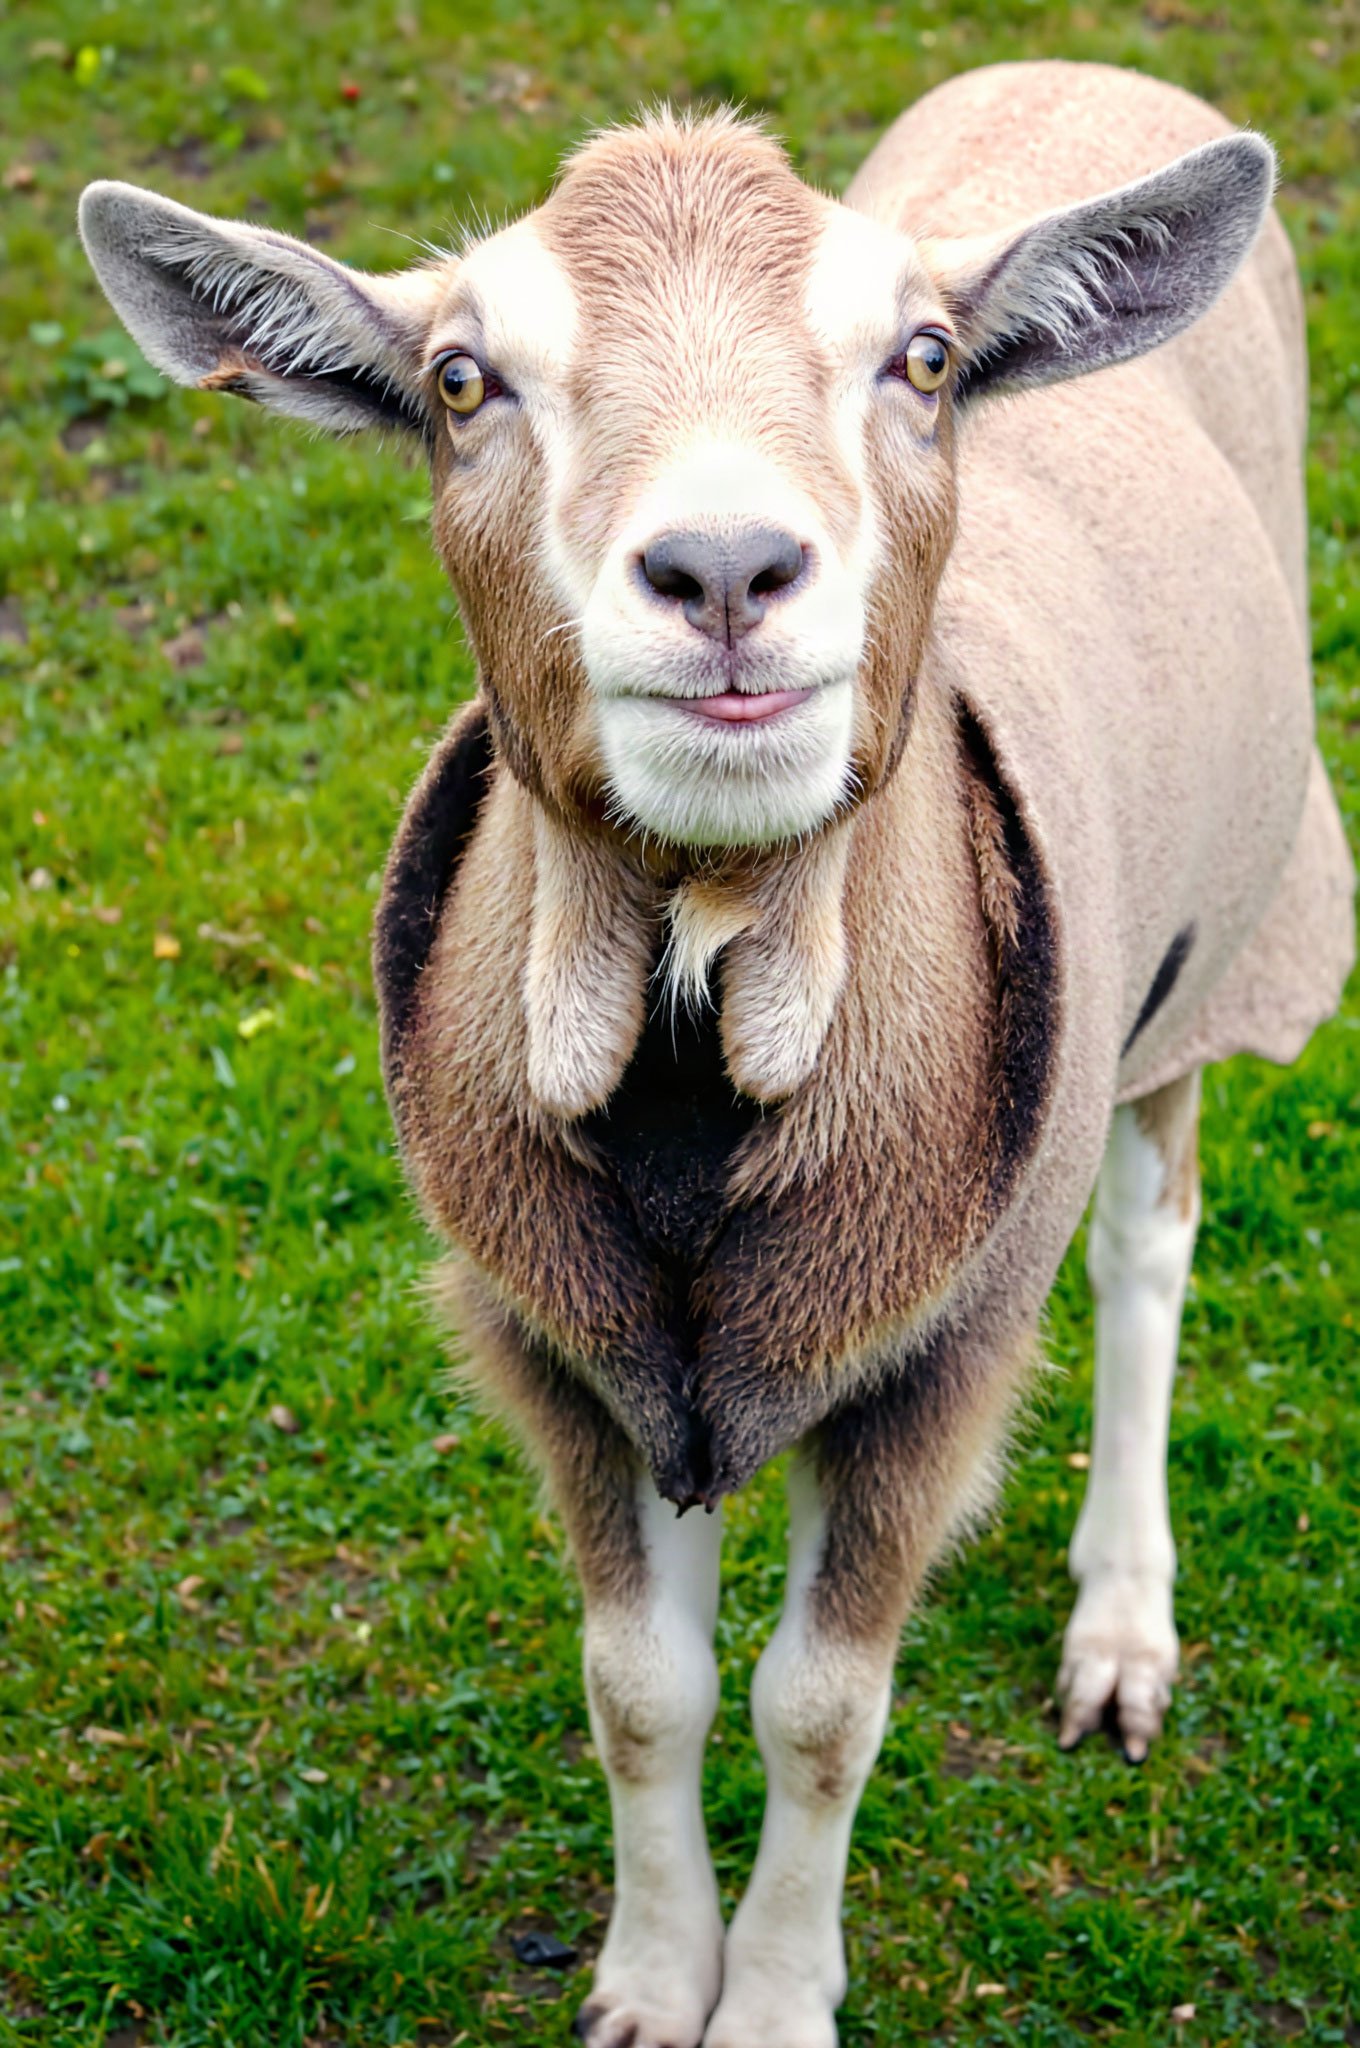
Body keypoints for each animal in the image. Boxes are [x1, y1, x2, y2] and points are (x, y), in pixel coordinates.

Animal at [81, 58, 1354, 2048]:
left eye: (924, 356)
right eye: (464, 381)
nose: (729, 569)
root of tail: (1084, 69)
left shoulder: (934, 1358)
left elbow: (819, 1708)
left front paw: (767, 1996)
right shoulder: (560, 1339)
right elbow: (645, 1684)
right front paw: (648, 1973)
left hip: (1219, 941)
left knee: (1150, 1245)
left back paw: (1121, 1626)